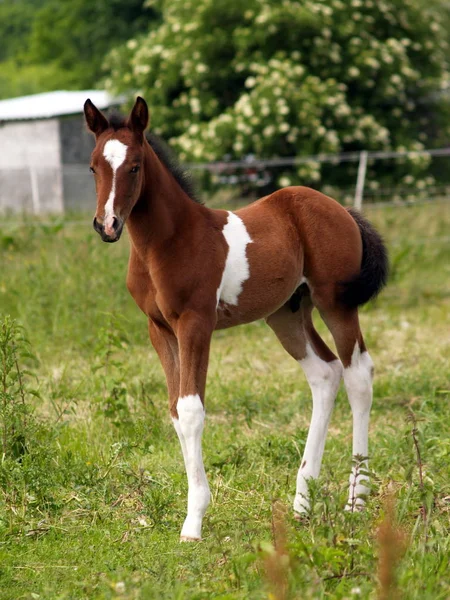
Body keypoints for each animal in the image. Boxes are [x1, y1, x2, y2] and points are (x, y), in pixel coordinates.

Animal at [84, 97, 386, 540]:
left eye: (135, 166)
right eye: (94, 167)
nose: (107, 225)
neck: (168, 242)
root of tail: (341, 208)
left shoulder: (195, 323)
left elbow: (192, 410)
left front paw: (193, 522)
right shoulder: (159, 330)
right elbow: (175, 410)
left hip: (336, 302)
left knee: (358, 374)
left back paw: (355, 501)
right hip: (286, 314)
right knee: (325, 373)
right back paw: (302, 502)